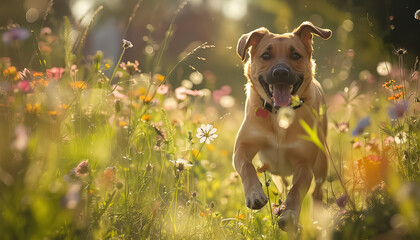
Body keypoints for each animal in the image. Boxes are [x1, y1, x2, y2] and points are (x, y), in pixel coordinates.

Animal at [233, 22, 332, 231]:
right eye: (265, 55)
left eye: (295, 55)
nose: (280, 72)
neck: (280, 115)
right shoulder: (242, 148)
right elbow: (246, 166)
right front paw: (254, 194)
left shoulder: (304, 165)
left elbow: (296, 192)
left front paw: (289, 215)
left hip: (322, 163)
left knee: (317, 191)